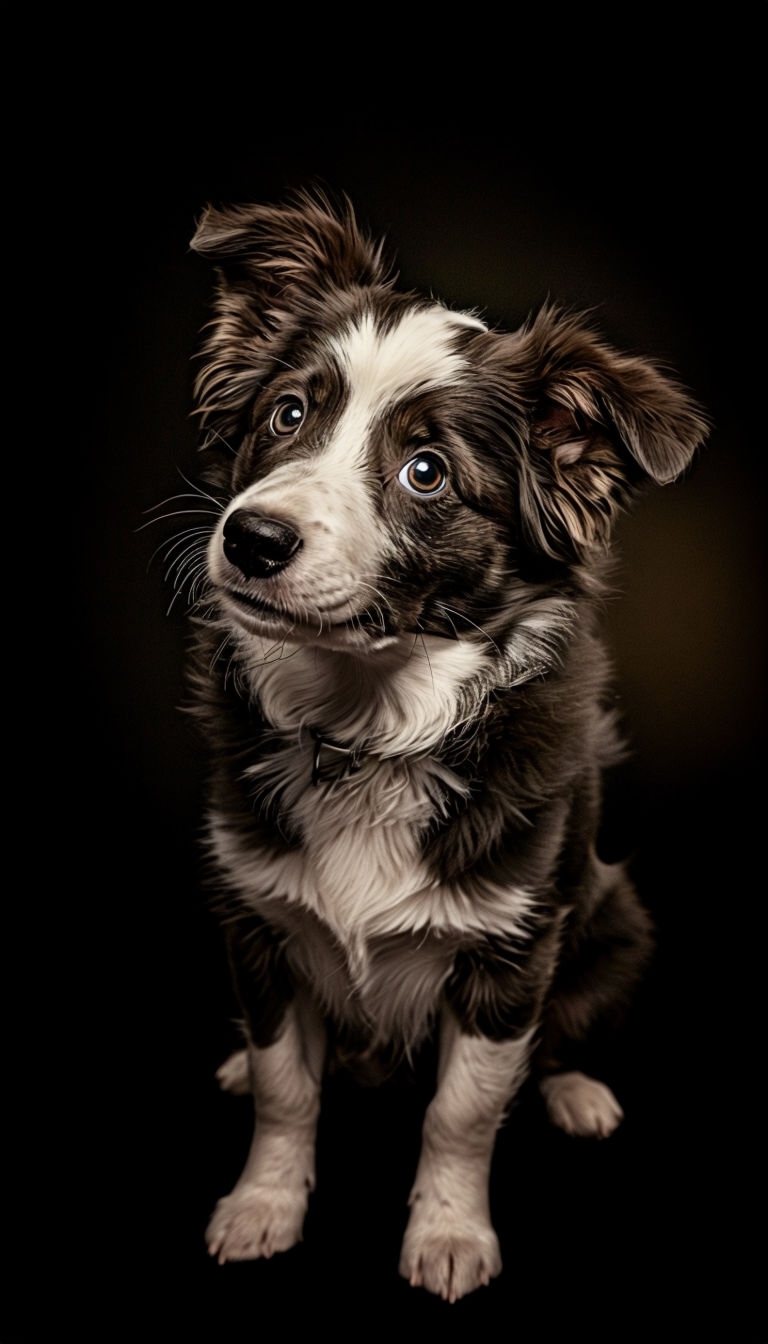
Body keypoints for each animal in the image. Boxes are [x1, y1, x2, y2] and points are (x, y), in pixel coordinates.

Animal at [174, 189, 710, 1300]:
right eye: (288, 415)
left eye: (426, 472)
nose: (251, 538)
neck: (366, 729)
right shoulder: (254, 921)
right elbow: (288, 1088)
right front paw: (264, 1203)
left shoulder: (511, 950)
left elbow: (463, 1111)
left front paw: (451, 1234)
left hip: (617, 918)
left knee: (559, 1039)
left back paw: (577, 1092)